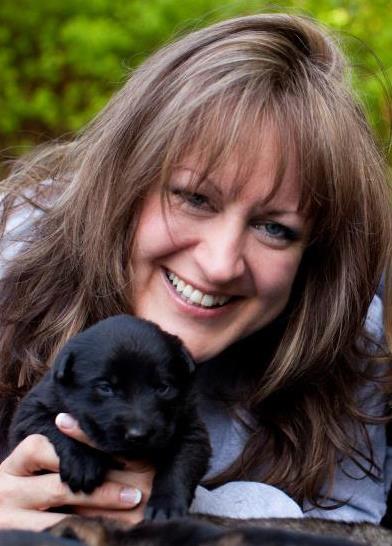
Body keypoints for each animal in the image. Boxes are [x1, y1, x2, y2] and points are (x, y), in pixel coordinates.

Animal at [8, 312, 211, 516]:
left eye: (163, 387)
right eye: (106, 387)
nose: (138, 435)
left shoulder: (191, 428)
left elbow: (181, 462)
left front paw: (166, 506)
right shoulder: (32, 409)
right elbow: (49, 423)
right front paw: (83, 460)